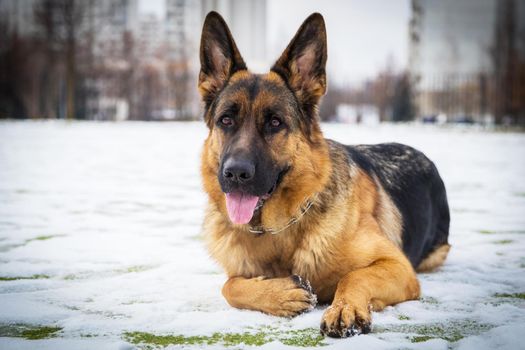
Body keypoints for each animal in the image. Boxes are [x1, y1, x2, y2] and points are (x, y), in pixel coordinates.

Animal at [199, 12, 448, 338]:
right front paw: (282, 294)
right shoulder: (237, 274)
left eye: (275, 123)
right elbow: (229, 286)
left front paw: (344, 309)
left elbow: (354, 276)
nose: (235, 173)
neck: (281, 233)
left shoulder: (398, 266)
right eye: (226, 120)